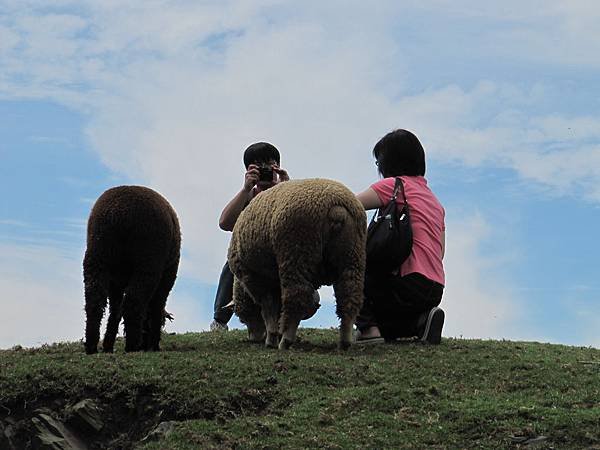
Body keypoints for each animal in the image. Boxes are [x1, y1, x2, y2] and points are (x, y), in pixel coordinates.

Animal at [83, 185, 180, 354]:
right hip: (148, 262)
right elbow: (157, 305)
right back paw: (133, 345)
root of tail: (119, 214)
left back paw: (92, 346)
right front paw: (154, 344)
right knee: (134, 301)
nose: (146, 344)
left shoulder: (115, 282)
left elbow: (115, 310)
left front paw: (108, 345)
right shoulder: (167, 276)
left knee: (94, 300)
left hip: (97, 256)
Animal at [227, 178, 366, 350]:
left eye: (243, 317)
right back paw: (344, 342)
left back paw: (285, 341)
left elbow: (268, 309)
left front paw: (272, 337)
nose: (254, 338)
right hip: (352, 257)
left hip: (296, 252)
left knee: (296, 296)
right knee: (349, 297)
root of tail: (337, 209)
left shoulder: (258, 280)